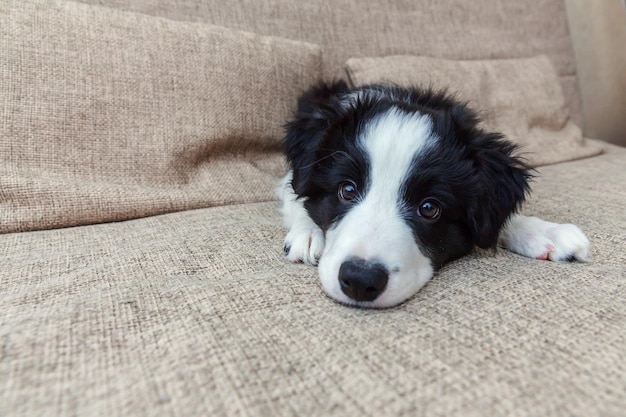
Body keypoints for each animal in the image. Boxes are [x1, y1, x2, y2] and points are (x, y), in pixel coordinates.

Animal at [276, 82, 588, 308]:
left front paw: (545, 231)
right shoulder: (292, 177)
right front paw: (307, 234)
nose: (361, 280)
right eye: (347, 190)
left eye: (429, 208)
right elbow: (297, 196)